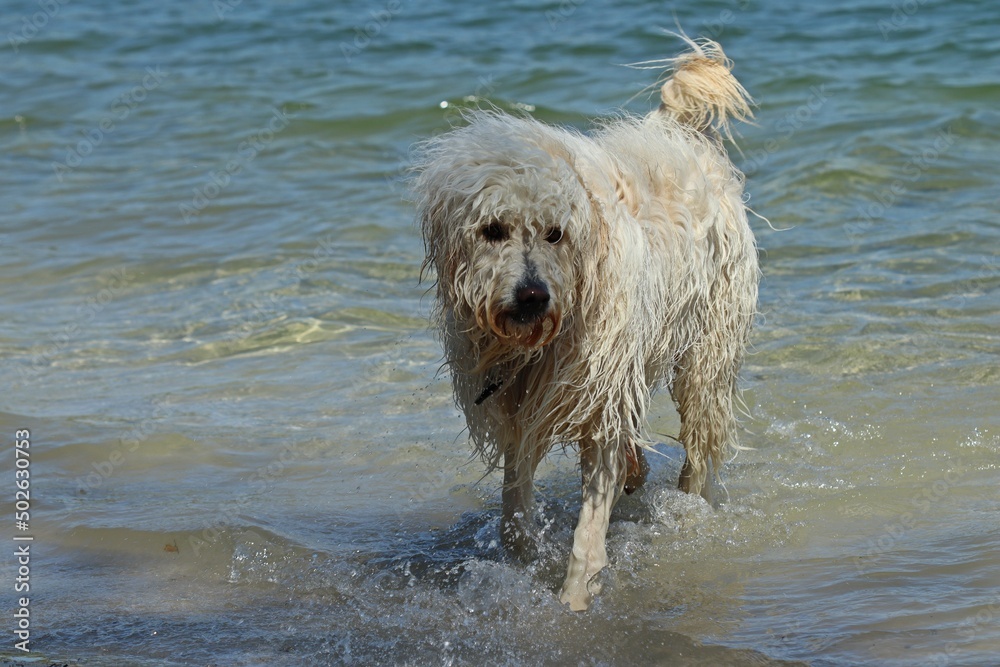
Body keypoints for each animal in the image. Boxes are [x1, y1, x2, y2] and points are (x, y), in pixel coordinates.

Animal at [412, 37, 756, 612]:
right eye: (492, 229)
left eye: (555, 233)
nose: (532, 297)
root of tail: (682, 138)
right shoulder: (520, 406)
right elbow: (513, 509)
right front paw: (525, 563)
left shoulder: (598, 393)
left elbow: (589, 530)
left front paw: (572, 603)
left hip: (705, 352)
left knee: (700, 441)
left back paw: (690, 506)